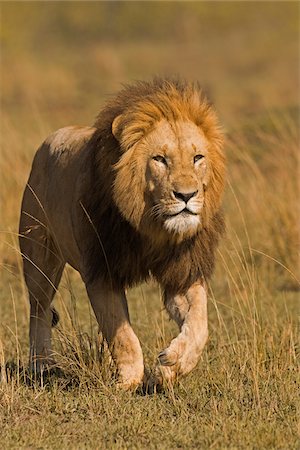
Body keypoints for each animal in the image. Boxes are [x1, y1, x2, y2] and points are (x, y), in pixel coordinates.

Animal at [18, 75, 225, 388]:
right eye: (160, 159)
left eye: (197, 157)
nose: (186, 195)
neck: (152, 228)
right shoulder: (102, 272)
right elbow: (123, 336)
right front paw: (128, 381)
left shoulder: (182, 272)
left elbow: (200, 324)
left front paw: (172, 365)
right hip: (39, 257)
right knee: (38, 309)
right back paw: (42, 365)